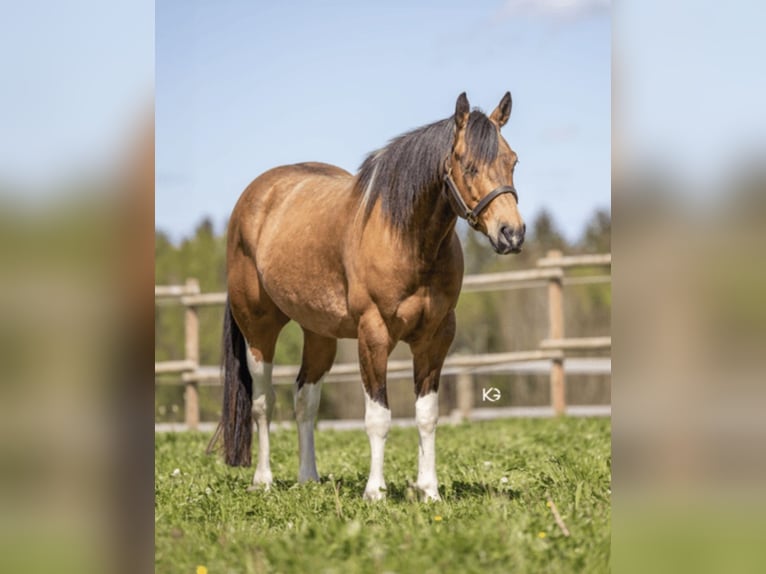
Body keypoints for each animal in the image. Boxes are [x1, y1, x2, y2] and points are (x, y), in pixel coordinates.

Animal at [212, 92, 528, 502]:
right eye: (469, 166)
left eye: (512, 161)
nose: (512, 233)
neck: (405, 238)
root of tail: (256, 197)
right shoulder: (374, 334)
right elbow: (378, 417)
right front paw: (375, 491)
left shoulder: (436, 337)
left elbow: (427, 415)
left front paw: (429, 491)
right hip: (258, 329)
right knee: (264, 402)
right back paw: (263, 479)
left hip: (319, 335)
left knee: (304, 401)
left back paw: (308, 477)